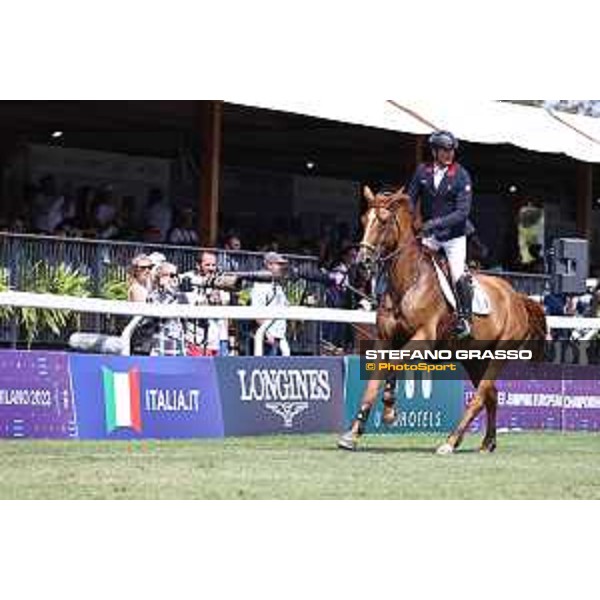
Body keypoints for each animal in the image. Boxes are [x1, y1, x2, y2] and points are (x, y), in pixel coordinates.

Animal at [340, 188, 548, 454]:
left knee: (480, 396)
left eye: (384, 221)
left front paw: (388, 409)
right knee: (491, 394)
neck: (407, 282)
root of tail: (517, 297)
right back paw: (486, 442)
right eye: (364, 220)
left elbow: (396, 363)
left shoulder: (423, 337)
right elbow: (373, 383)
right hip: (474, 358)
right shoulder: (384, 340)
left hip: (500, 353)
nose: (362, 263)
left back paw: (450, 441)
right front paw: (353, 433)